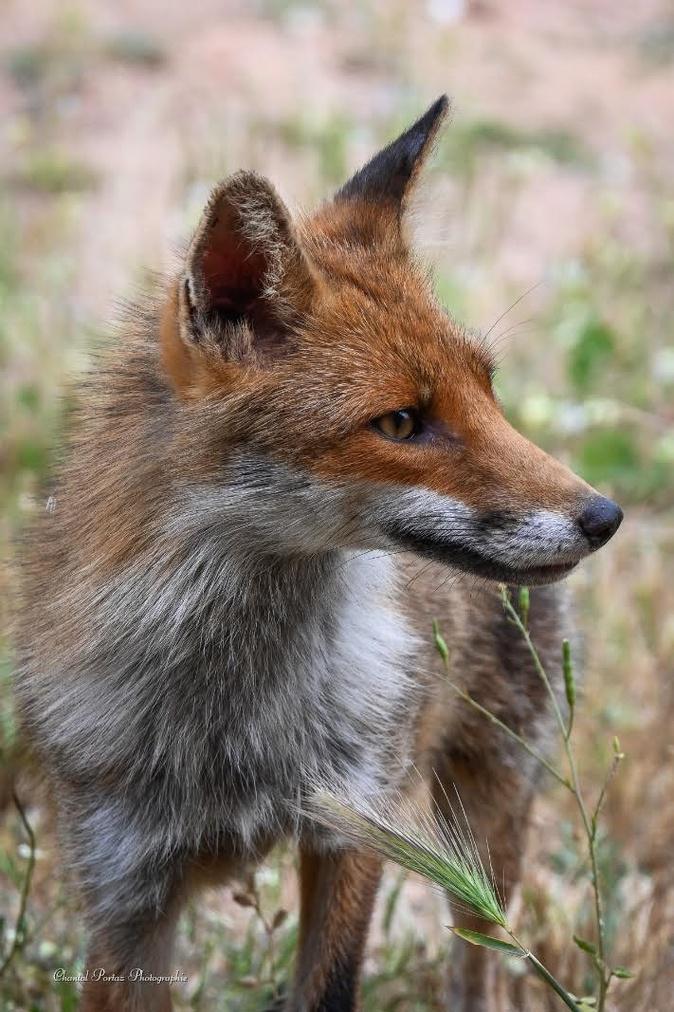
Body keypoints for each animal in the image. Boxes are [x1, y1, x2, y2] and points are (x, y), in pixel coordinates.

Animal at [14, 94, 623, 1012]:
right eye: (401, 422)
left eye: (488, 390)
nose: (605, 515)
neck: (229, 722)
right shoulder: (122, 896)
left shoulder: (353, 828)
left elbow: (330, 986)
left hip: (487, 817)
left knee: (480, 956)